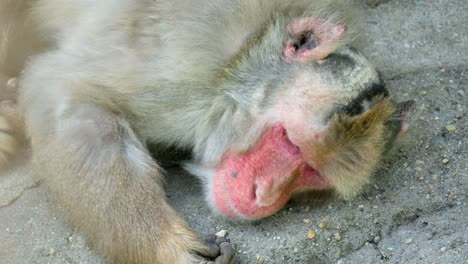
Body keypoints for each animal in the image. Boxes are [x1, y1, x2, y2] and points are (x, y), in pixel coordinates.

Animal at [0, 0, 416, 262]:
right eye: (290, 142)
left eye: (311, 173)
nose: (266, 196)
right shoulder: (177, 74)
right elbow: (62, 91)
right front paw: (166, 248)